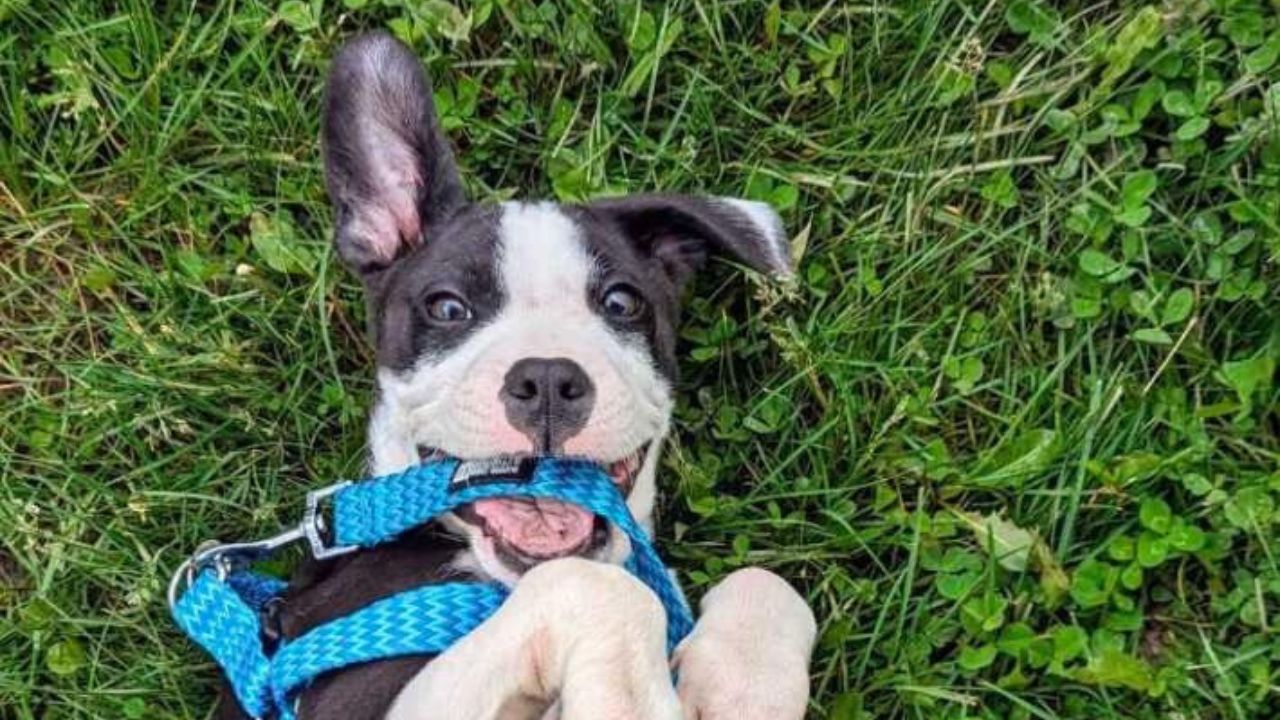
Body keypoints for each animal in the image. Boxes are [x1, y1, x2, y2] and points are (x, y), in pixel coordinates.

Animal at [220, 33, 814, 717]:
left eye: (621, 302)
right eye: (448, 308)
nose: (549, 380)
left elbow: (765, 581)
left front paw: (730, 686)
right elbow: (598, 589)